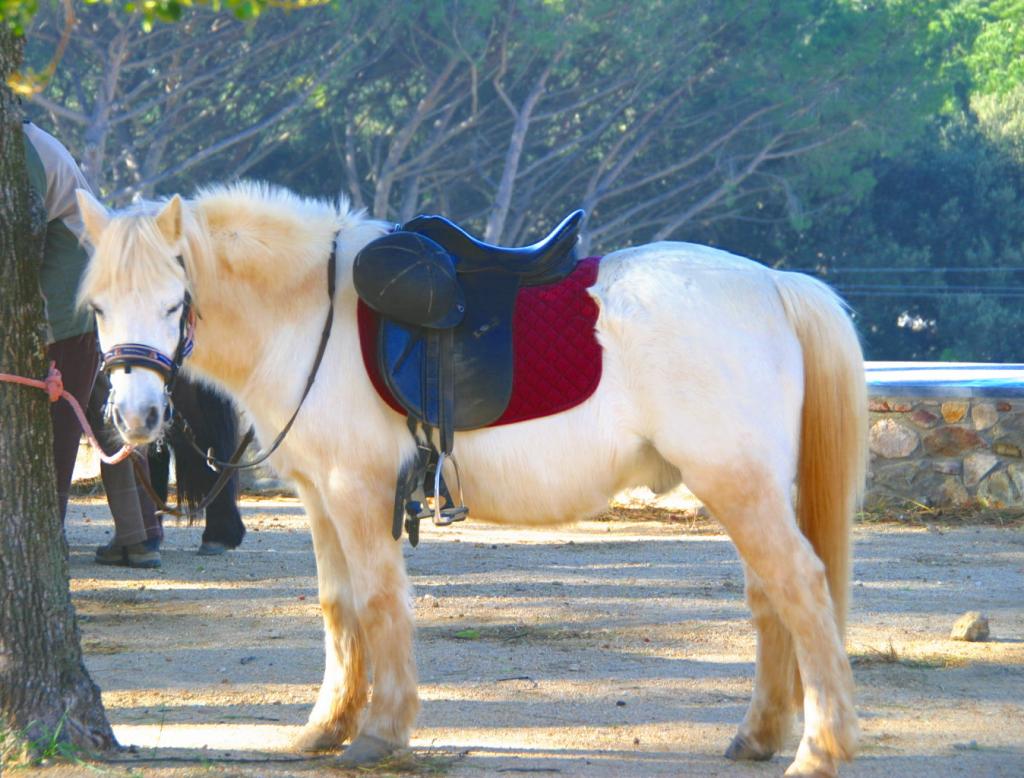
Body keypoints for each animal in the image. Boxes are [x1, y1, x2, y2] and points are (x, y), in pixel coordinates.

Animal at [75, 184, 868, 778]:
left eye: (174, 301)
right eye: (100, 307)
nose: (137, 416)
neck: (310, 315)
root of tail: (772, 284)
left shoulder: (357, 491)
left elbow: (379, 603)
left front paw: (381, 732)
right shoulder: (320, 498)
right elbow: (339, 609)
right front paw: (326, 728)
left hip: (738, 484)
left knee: (802, 588)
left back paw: (820, 750)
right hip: (744, 487)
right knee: (769, 598)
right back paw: (758, 736)